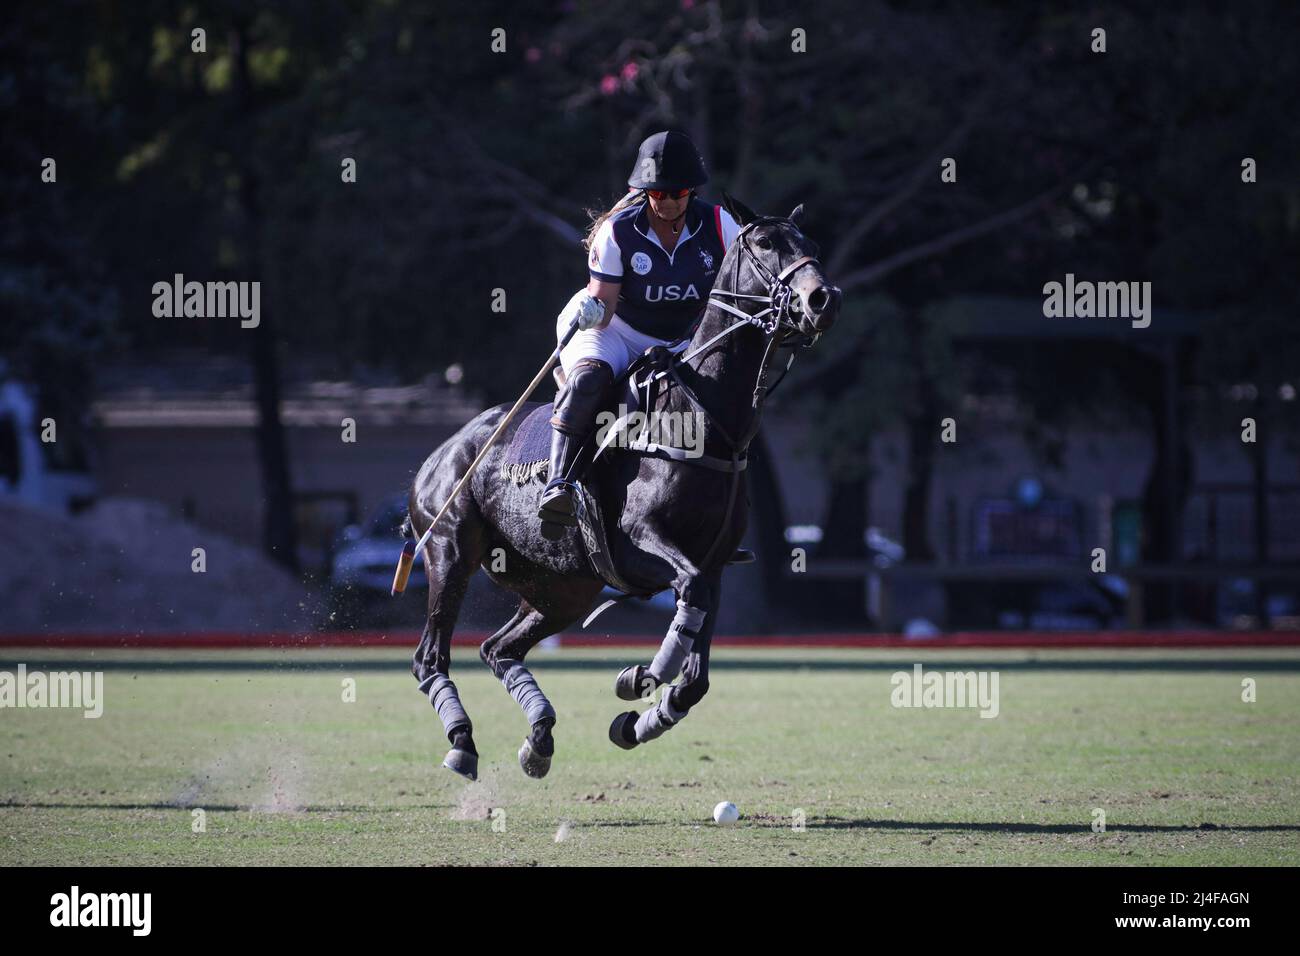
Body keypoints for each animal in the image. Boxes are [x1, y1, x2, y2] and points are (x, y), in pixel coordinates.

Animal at [400, 192, 842, 780]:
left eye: (810, 243)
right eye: (767, 243)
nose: (823, 299)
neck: (705, 419)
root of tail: (438, 456)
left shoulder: (715, 563)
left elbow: (696, 673)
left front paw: (639, 720)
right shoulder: (637, 544)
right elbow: (687, 598)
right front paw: (640, 678)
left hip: (562, 587)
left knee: (498, 648)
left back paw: (538, 738)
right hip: (449, 550)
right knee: (430, 655)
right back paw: (463, 741)